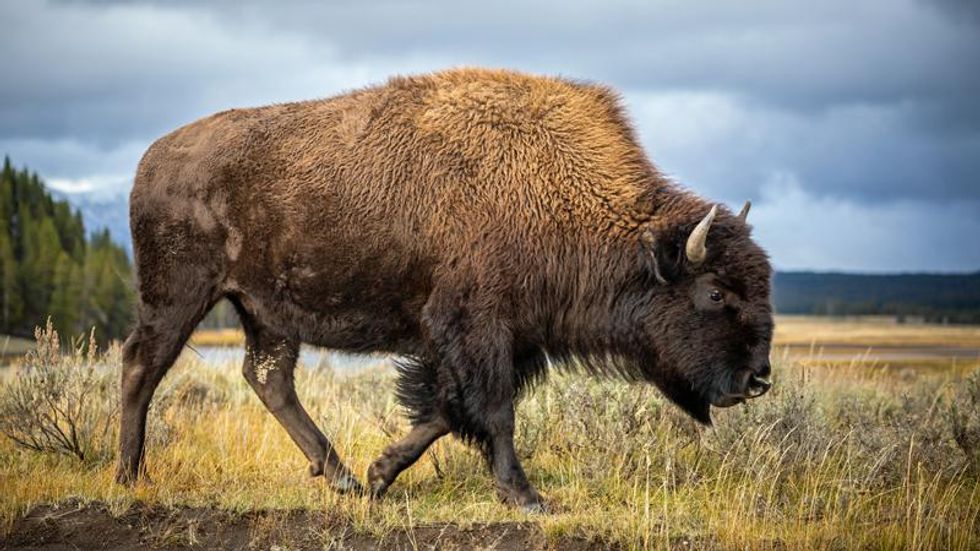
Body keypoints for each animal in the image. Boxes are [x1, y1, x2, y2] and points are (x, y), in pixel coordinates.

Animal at [116, 68, 773, 512]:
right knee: (142, 367)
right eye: (715, 294)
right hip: (177, 295)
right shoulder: (477, 328)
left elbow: (447, 409)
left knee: (268, 378)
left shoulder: (503, 339)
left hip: (264, 312)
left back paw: (341, 476)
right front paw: (526, 497)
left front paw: (379, 475)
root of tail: (152, 159)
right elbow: (492, 411)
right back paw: (129, 475)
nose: (758, 379)